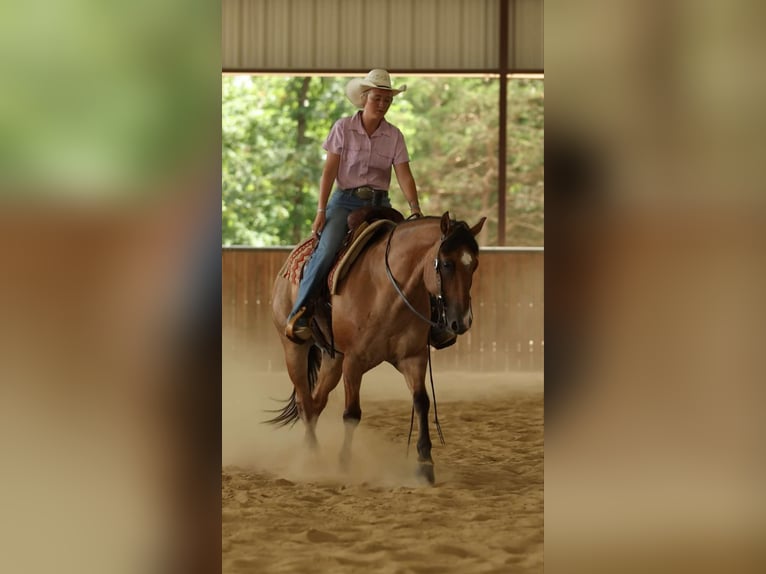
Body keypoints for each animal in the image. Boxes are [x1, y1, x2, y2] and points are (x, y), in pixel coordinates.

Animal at [269, 211, 486, 484]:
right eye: (446, 264)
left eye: (474, 264)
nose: (463, 321)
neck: (387, 289)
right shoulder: (354, 361)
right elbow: (352, 413)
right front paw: (344, 464)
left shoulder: (413, 358)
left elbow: (421, 402)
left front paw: (425, 464)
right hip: (294, 348)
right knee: (304, 402)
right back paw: (313, 459)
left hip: (333, 359)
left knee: (316, 401)